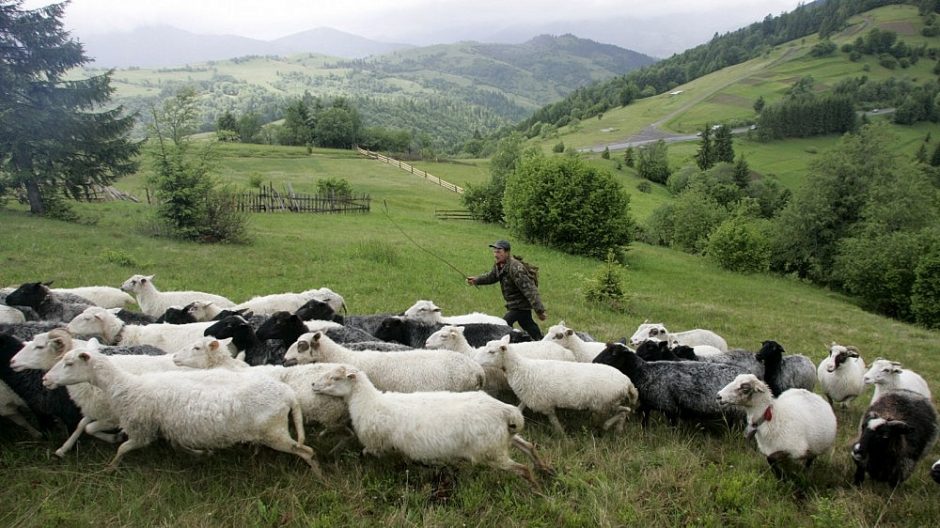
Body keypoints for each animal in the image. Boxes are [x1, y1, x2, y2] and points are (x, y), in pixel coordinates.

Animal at [43, 340, 320, 472]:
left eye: (69, 363)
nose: (45, 379)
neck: (126, 385)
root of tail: (288, 394)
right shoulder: (170, 425)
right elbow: (178, 444)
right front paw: (199, 454)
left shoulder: (142, 430)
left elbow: (122, 447)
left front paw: (110, 468)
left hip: (274, 432)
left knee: (307, 451)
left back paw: (318, 476)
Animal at [312, 366, 556, 484]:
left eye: (335, 378)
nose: (313, 385)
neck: (369, 402)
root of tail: (505, 411)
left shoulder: (376, 445)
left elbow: (365, 454)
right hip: (501, 440)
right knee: (528, 446)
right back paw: (545, 469)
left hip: (491, 453)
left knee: (523, 469)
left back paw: (536, 489)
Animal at [478, 340, 640, 436]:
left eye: (492, 352)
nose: (476, 360)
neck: (522, 368)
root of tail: (627, 382)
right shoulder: (531, 396)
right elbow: (519, 408)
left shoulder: (544, 403)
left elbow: (553, 419)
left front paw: (561, 434)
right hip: (608, 403)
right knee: (625, 411)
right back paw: (618, 429)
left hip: (604, 403)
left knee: (625, 410)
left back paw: (607, 425)